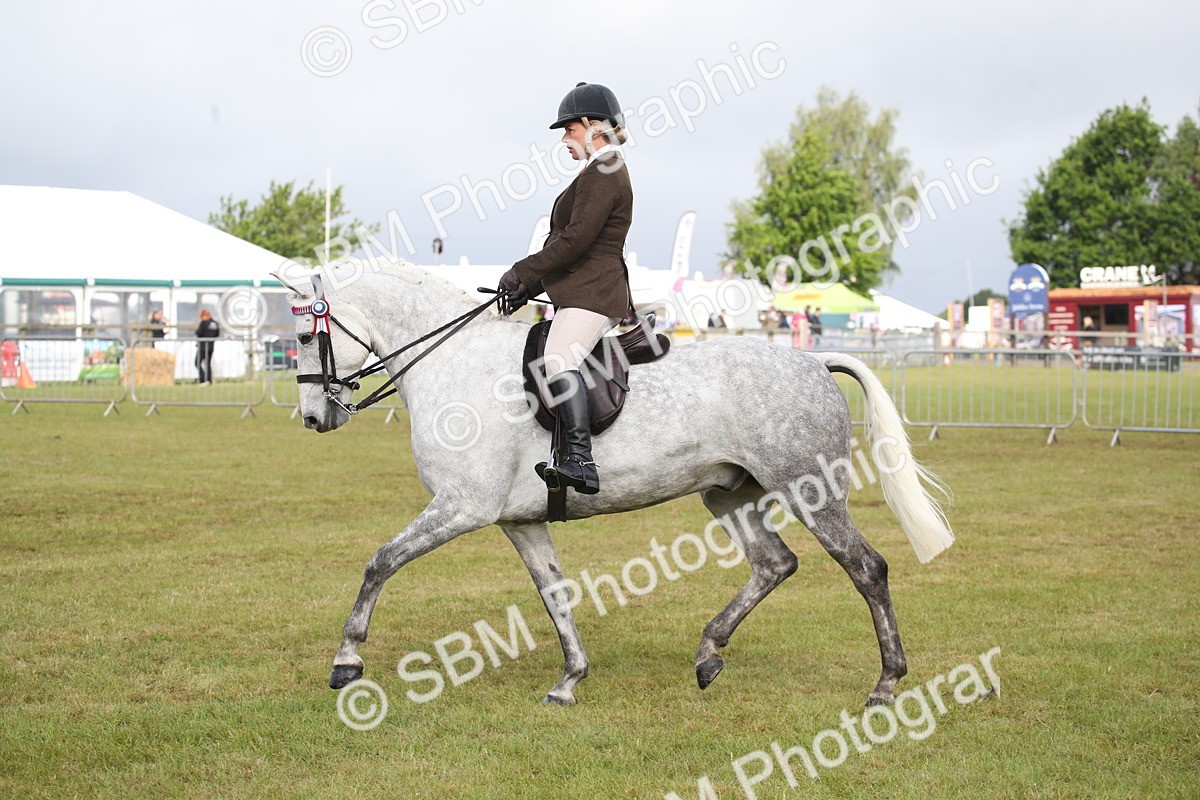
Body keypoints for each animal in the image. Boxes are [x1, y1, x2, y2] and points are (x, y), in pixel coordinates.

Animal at [275, 260, 953, 707]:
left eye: (307, 335)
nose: (314, 419)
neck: (452, 362)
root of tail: (814, 360)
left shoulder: (462, 506)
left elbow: (380, 562)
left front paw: (346, 660)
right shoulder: (518, 521)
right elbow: (554, 593)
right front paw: (570, 679)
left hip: (808, 487)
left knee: (865, 567)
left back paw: (885, 684)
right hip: (728, 493)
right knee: (774, 563)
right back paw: (709, 654)